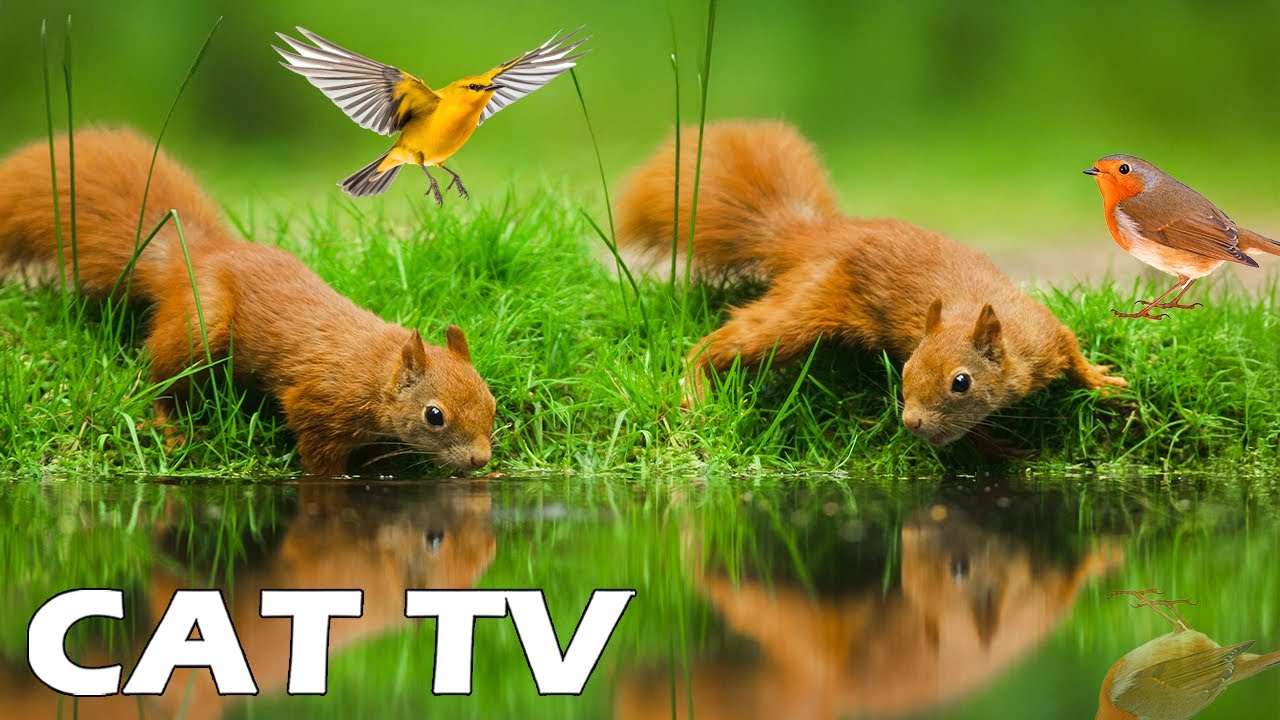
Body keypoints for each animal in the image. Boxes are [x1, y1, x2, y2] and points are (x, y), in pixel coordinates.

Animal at [0, 128, 495, 475]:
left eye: (491, 402)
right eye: (434, 415)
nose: (481, 460)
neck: (373, 370)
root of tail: (194, 255)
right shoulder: (314, 401)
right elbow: (319, 454)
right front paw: (335, 476)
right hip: (201, 325)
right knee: (160, 376)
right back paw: (171, 428)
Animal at [615, 120, 1127, 447]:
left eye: (961, 382)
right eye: (905, 370)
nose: (911, 423)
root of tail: (823, 235)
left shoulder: (1046, 331)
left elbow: (1073, 351)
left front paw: (1100, 380)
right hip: (803, 309)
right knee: (725, 342)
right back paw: (695, 384)